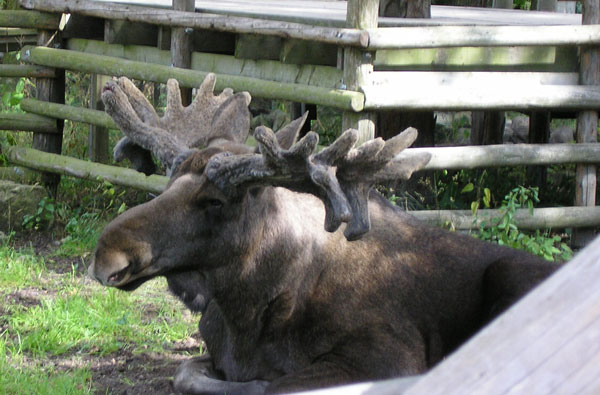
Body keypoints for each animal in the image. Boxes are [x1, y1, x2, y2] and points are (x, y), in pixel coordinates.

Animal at [88, 73, 556, 392]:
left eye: (216, 202)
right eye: (167, 182)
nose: (106, 255)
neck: (248, 310)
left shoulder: (391, 355)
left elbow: (274, 384)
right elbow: (186, 373)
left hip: (513, 277)